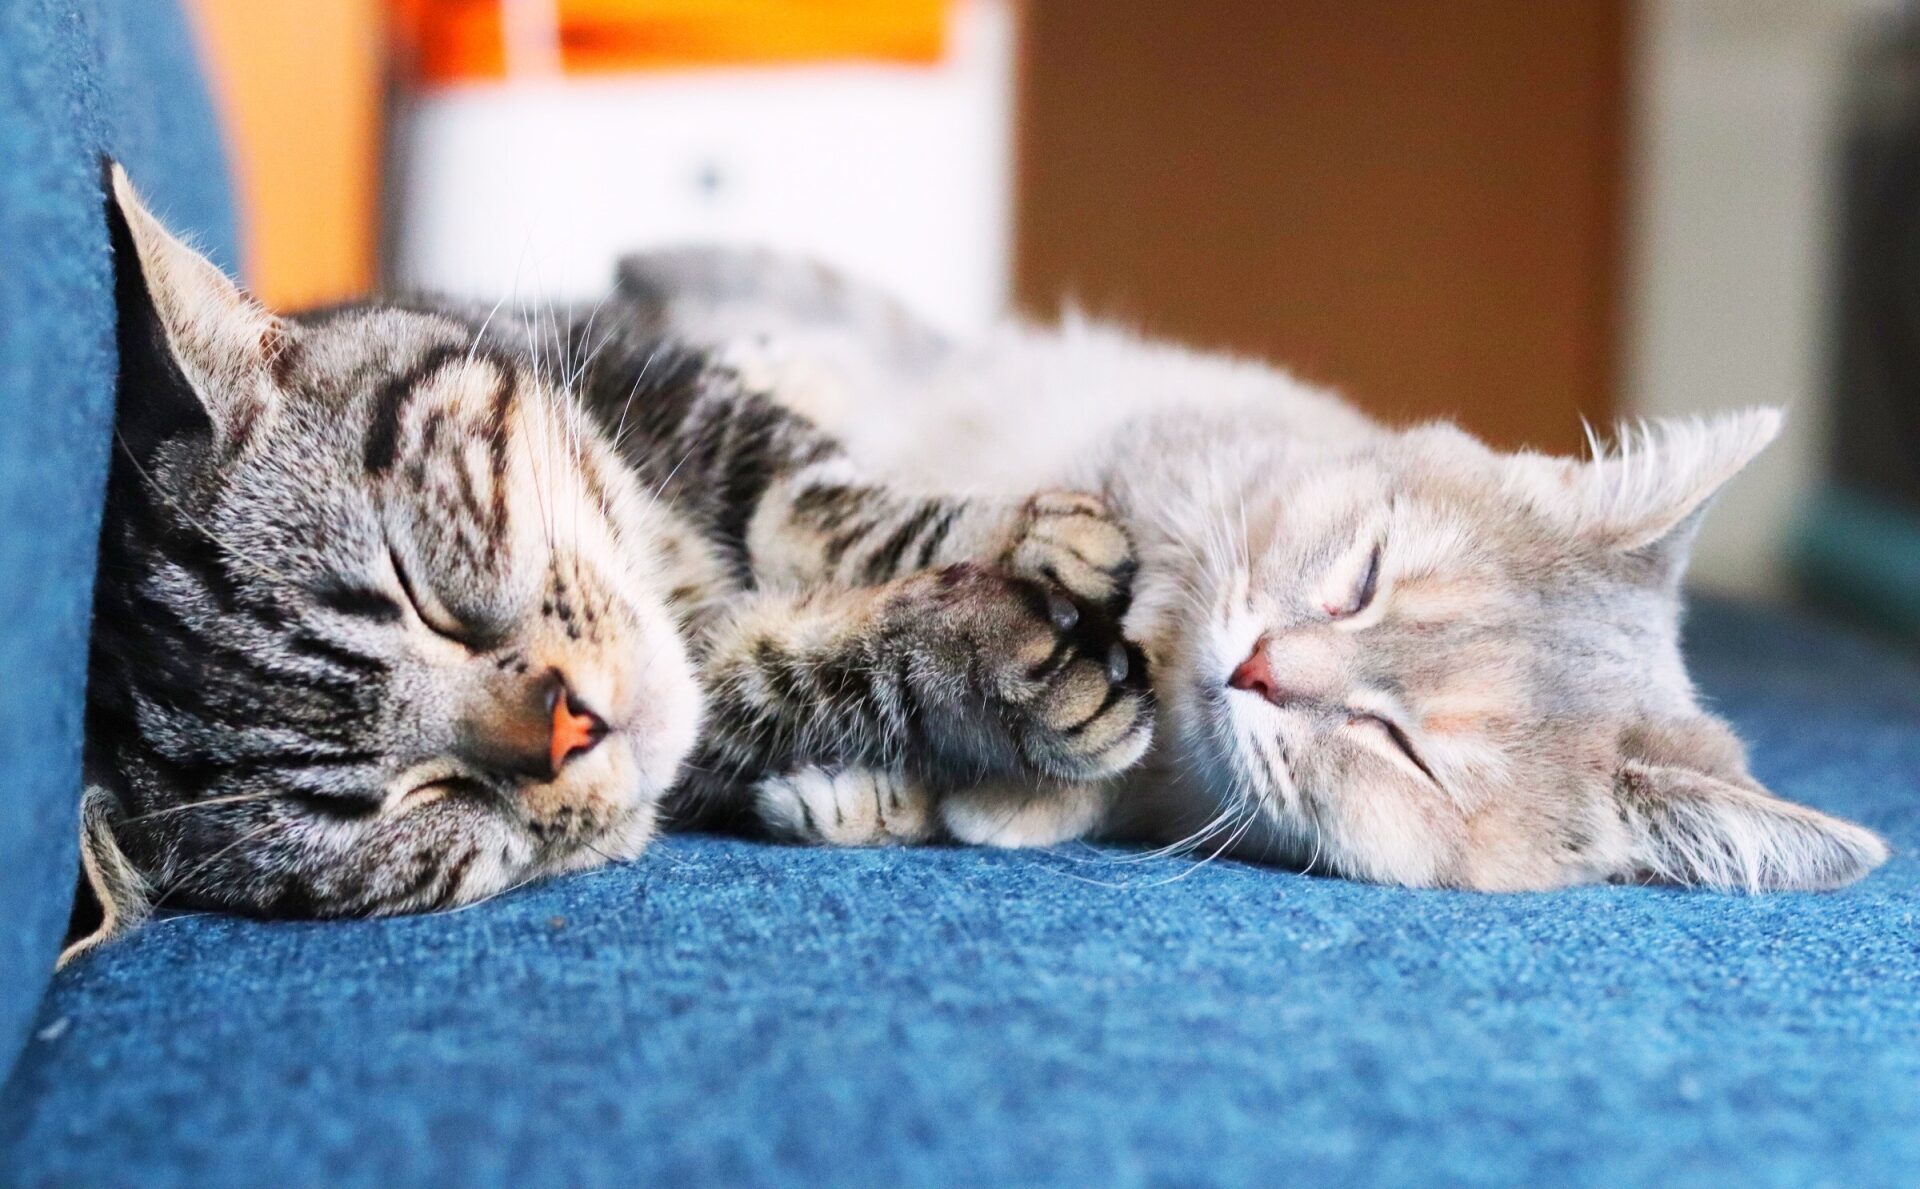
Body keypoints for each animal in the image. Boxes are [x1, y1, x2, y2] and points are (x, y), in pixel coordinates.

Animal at [71, 171, 1152, 964]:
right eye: (413, 801)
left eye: (420, 594)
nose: (570, 724)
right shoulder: (715, 721)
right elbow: (776, 673)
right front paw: (994, 661)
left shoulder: (665, 387)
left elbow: (811, 502)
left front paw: (1028, 535)